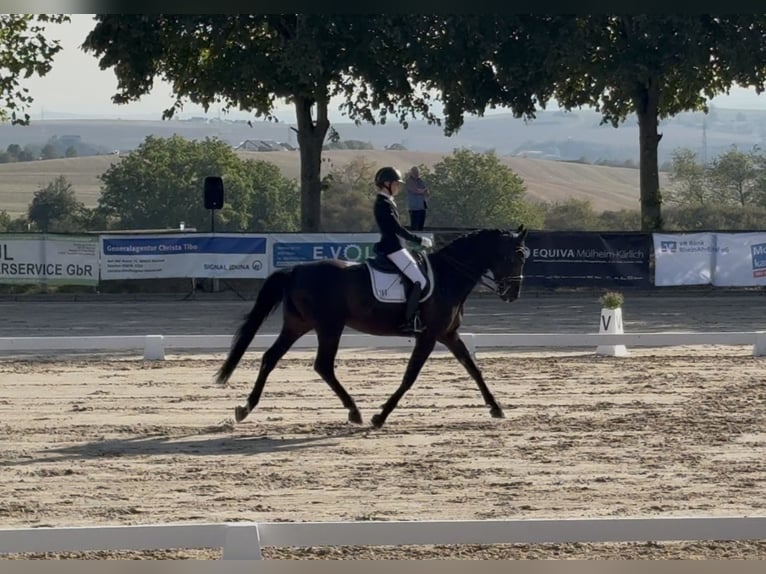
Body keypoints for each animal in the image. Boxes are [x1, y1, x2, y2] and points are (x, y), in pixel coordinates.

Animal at [215, 225, 529, 428]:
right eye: (515, 255)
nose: (513, 294)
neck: (448, 275)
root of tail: (295, 270)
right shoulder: (428, 336)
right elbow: (410, 377)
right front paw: (381, 417)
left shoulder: (449, 334)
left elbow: (473, 368)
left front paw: (496, 407)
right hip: (329, 326)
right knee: (322, 365)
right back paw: (355, 412)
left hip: (298, 324)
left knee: (271, 357)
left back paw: (244, 409)